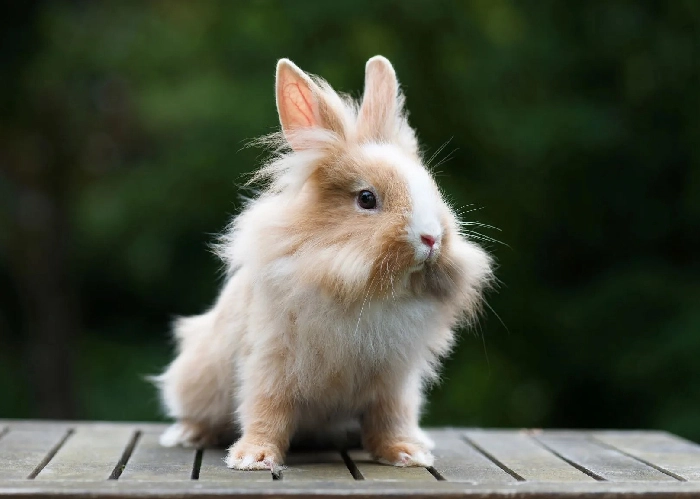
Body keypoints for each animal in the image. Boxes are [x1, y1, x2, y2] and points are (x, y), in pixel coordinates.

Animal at [153, 56, 493, 470]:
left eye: (432, 188)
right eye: (366, 198)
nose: (431, 239)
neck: (365, 291)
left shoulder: (394, 380)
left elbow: (391, 417)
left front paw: (406, 453)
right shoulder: (271, 362)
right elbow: (267, 409)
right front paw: (254, 458)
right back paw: (188, 434)